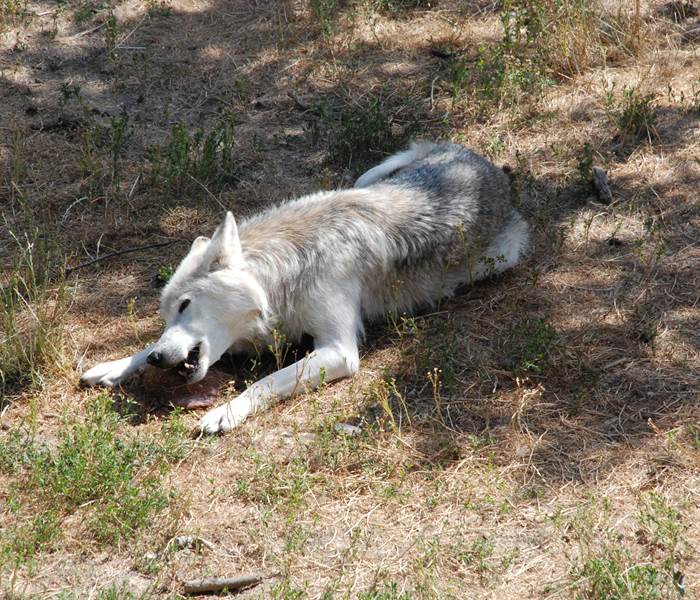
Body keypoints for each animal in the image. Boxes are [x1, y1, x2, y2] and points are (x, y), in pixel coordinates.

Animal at [81, 141, 529, 433]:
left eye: (186, 304)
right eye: (166, 312)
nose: (159, 360)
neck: (284, 273)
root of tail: (482, 162)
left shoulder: (339, 351)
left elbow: (265, 382)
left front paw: (226, 413)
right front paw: (117, 364)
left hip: (501, 257)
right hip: (374, 175)